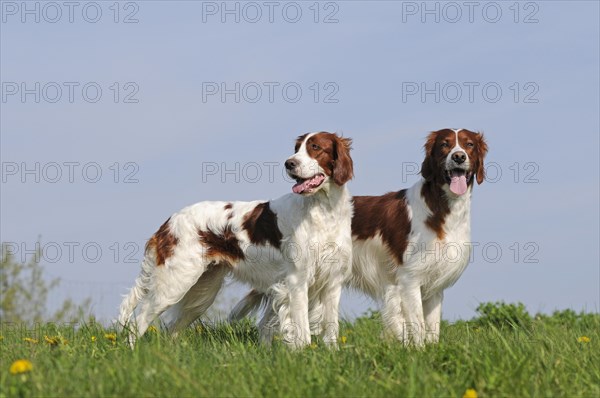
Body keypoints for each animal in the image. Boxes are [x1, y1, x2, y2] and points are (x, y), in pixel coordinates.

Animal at [119, 131, 354, 348]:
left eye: (315, 147)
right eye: (296, 148)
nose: (289, 163)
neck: (324, 211)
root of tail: (169, 222)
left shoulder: (332, 281)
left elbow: (331, 328)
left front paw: (331, 353)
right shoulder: (297, 280)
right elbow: (302, 330)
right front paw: (303, 353)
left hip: (201, 292)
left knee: (172, 328)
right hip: (174, 283)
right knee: (138, 321)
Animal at [230, 128, 488, 346]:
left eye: (469, 144)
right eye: (445, 144)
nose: (458, 157)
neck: (440, 210)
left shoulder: (435, 284)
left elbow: (432, 329)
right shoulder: (409, 278)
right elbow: (417, 326)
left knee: (267, 322)